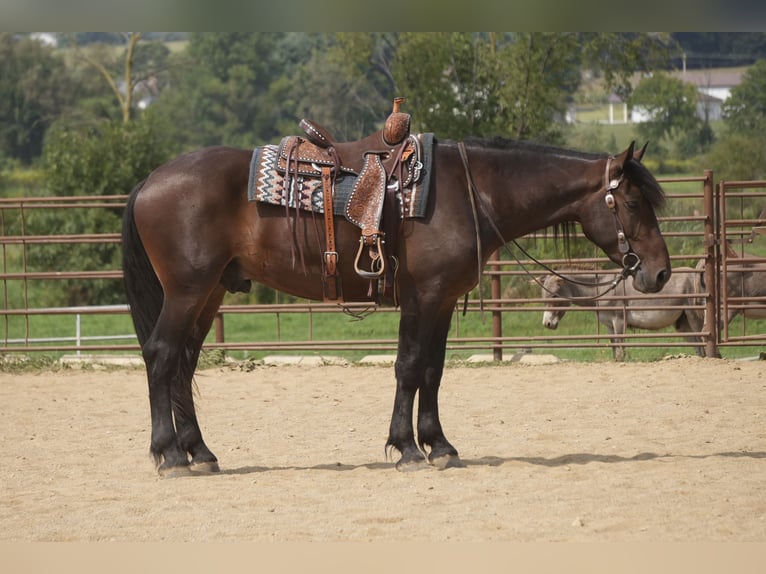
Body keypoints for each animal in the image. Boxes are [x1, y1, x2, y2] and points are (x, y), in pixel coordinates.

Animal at [121, 132, 671, 476]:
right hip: (187, 291)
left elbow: (432, 370)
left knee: (184, 364)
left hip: (208, 293)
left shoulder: (441, 301)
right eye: (634, 203)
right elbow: (408, 367)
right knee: (162, 356)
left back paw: (200, 451)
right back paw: (170, 456)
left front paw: (439, 445)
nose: (661, 272)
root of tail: (150, 180)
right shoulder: (422, 297)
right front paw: (407, 448)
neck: (469, 192)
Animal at [541, 268, 704, 361]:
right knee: (697, 345)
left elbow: (620, 348)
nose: (546, 324)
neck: (603, 289)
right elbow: (614, 348)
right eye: (543, 295)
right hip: (683, 322)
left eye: (554, 295)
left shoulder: (619, 320)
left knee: (702, 339)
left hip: (693, 314)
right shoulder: (609, 325)